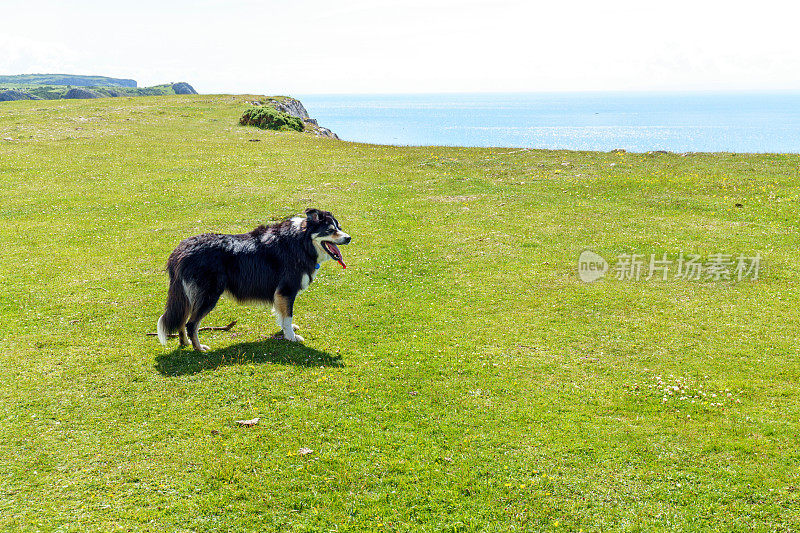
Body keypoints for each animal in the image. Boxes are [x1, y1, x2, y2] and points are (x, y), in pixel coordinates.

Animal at [156, 208, 350, 350]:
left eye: (339, 227)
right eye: (330, 230)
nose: (348, 238)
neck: (302, 242)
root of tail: (180, 250)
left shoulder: (279, 293)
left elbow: (281, 314)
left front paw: (286, 331)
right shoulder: (286, 290)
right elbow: (287, 315)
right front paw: (291, 337)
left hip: (189, 296)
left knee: (182, 320)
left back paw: (185, 343)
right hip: (208, 296)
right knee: (191, 324)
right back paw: (199, 348)